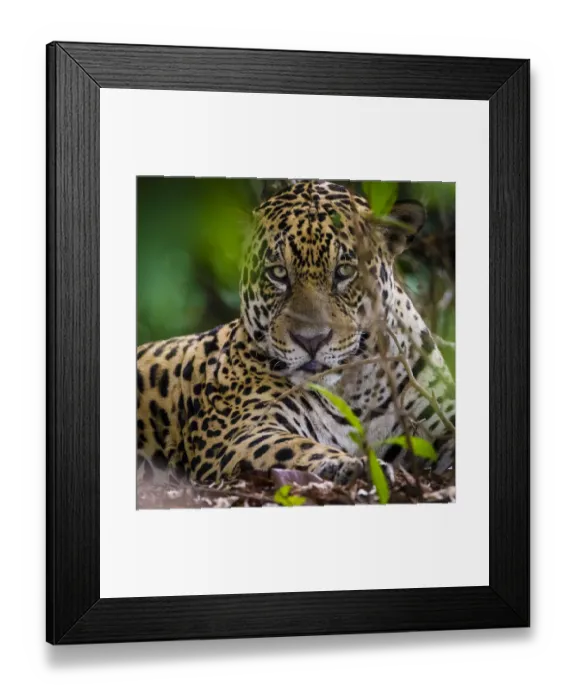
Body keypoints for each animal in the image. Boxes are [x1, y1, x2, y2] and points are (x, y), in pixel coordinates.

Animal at [137, 180, 455, 488]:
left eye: (344, 271)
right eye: (278, 273)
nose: (311, 340)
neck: (359, 390)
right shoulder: (234, 431)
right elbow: (292, 447)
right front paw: (355, 467)